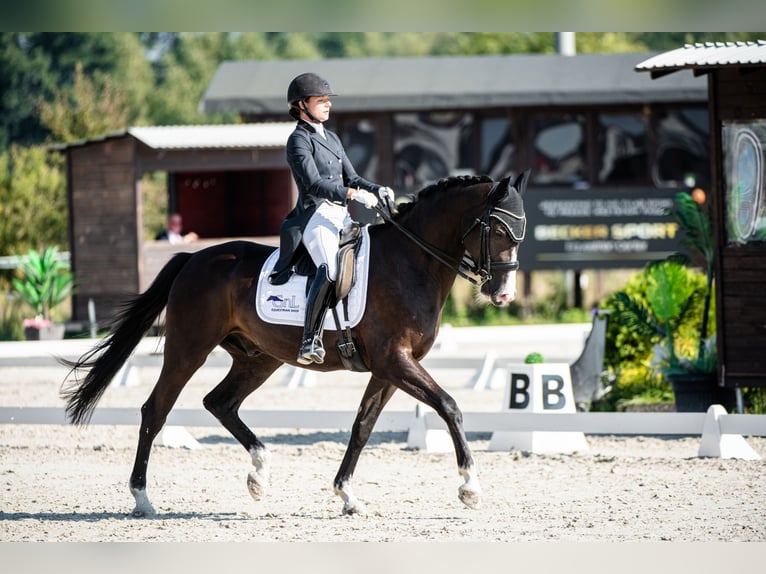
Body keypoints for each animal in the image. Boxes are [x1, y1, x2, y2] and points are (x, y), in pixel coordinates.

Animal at [60, 170, 532, 516]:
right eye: (498, 229)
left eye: (520, 233)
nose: (504, 295)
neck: (410, 262)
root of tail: (194, 258)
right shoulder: (395, 361)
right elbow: (450, 406)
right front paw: (470, 487)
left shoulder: (389, 368)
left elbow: (362, 427)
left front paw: (346, 495)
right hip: (188, 349)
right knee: (155, 410)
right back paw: (142, 498)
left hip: (258, 358)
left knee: (220, 402)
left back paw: (259, 474)